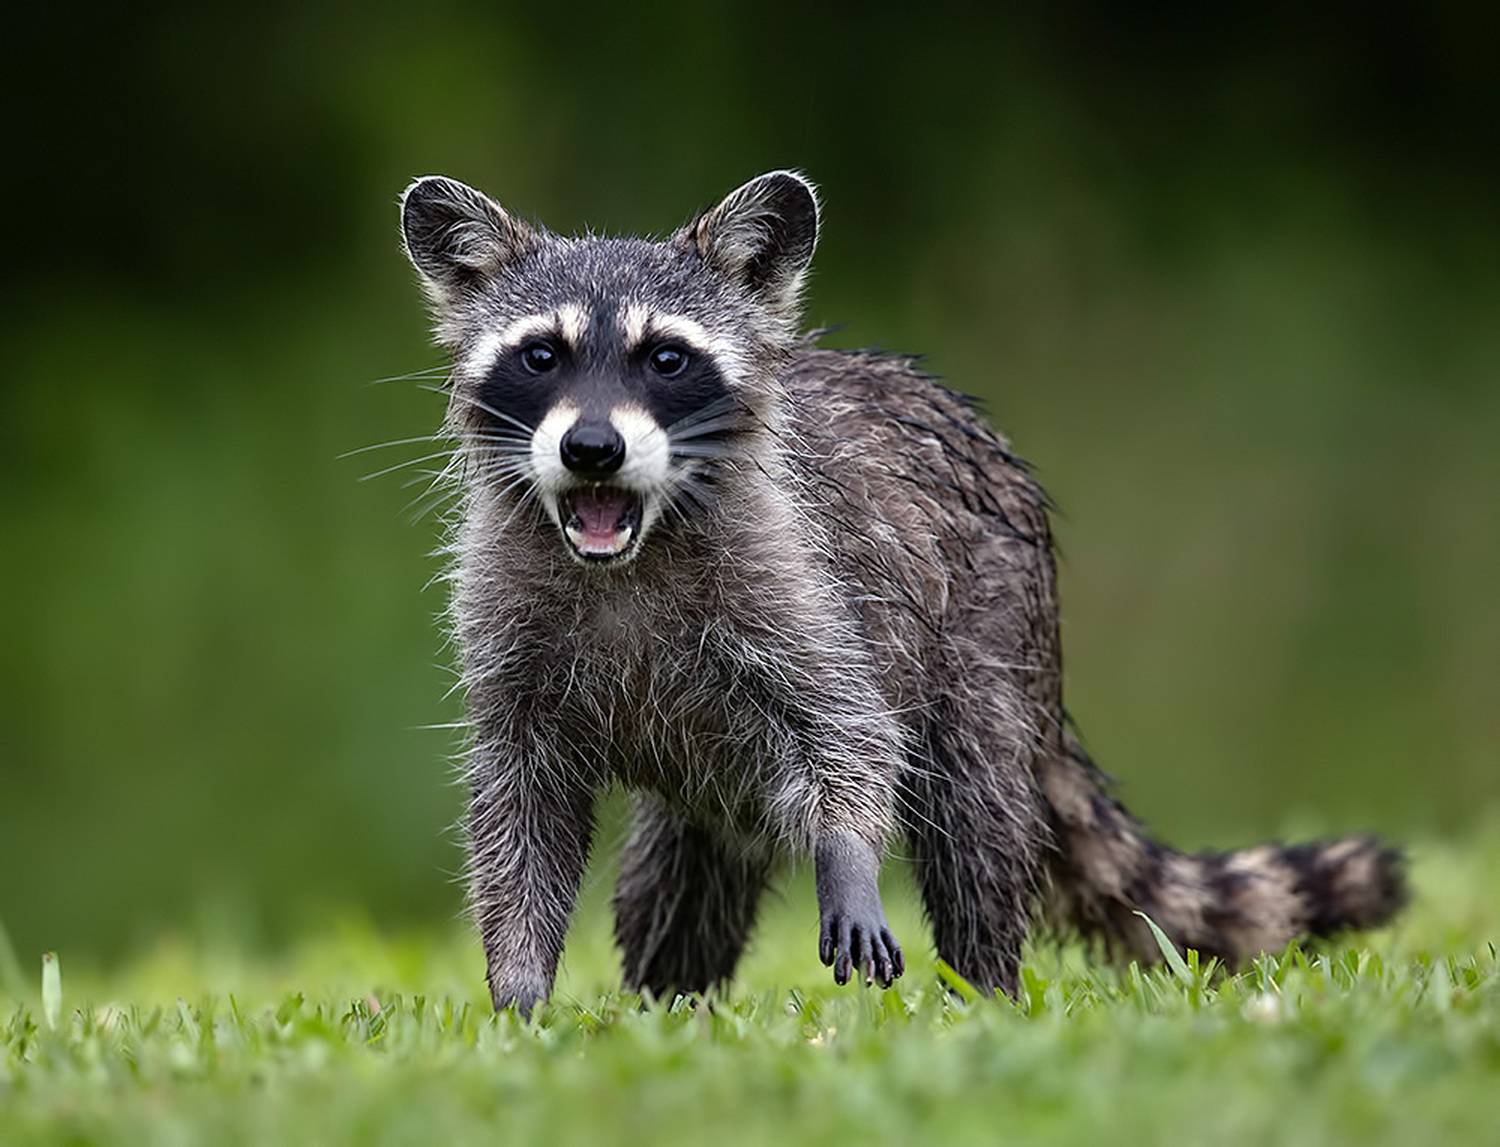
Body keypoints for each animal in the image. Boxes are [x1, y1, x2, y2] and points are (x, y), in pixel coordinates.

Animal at [397, 171, 1406, 1015]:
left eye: (666, 359)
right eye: (540, 355)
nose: (593, 449)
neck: (628, 552)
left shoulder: (804, 582)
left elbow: (852, 734)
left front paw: (848, 858)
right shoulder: (507, 634)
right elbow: (518, 817)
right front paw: (519, 982)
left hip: (989, 641)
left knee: (976, 822)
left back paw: (984, 986)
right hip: (709, 791)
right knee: (679, 880)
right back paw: (667, 999)